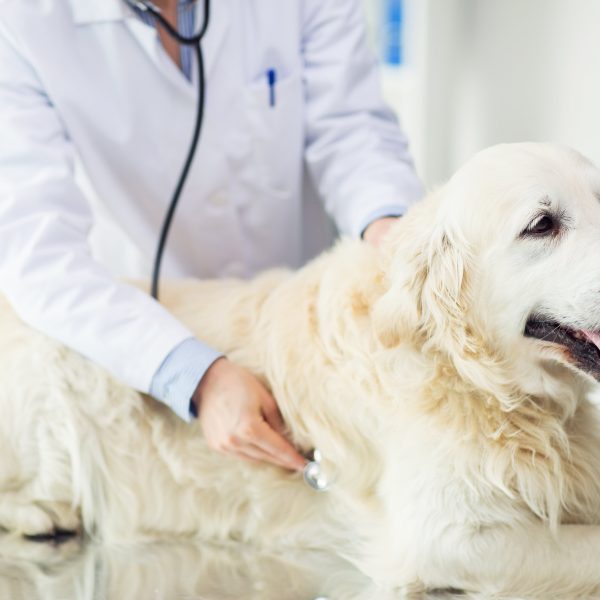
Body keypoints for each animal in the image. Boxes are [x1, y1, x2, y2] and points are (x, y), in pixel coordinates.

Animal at [0, 143, 600, 596]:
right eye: (541, 224)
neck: (478, 380)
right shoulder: (447, 538)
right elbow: (586, 550)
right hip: (52, 377)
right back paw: (42, 516)